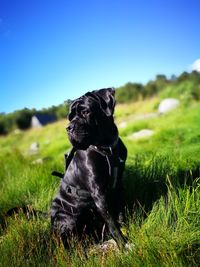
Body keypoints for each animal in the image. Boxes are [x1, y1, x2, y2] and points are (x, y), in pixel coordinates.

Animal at [50, 89, 127, 248]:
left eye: (85, 112)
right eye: (70, 117)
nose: (68, 128)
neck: (106, 148)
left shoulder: (118, 184)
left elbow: (120, 211)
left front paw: (126, 228)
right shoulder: (99, 194)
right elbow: (112, 223)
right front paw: (122, 244)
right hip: (67, 218)